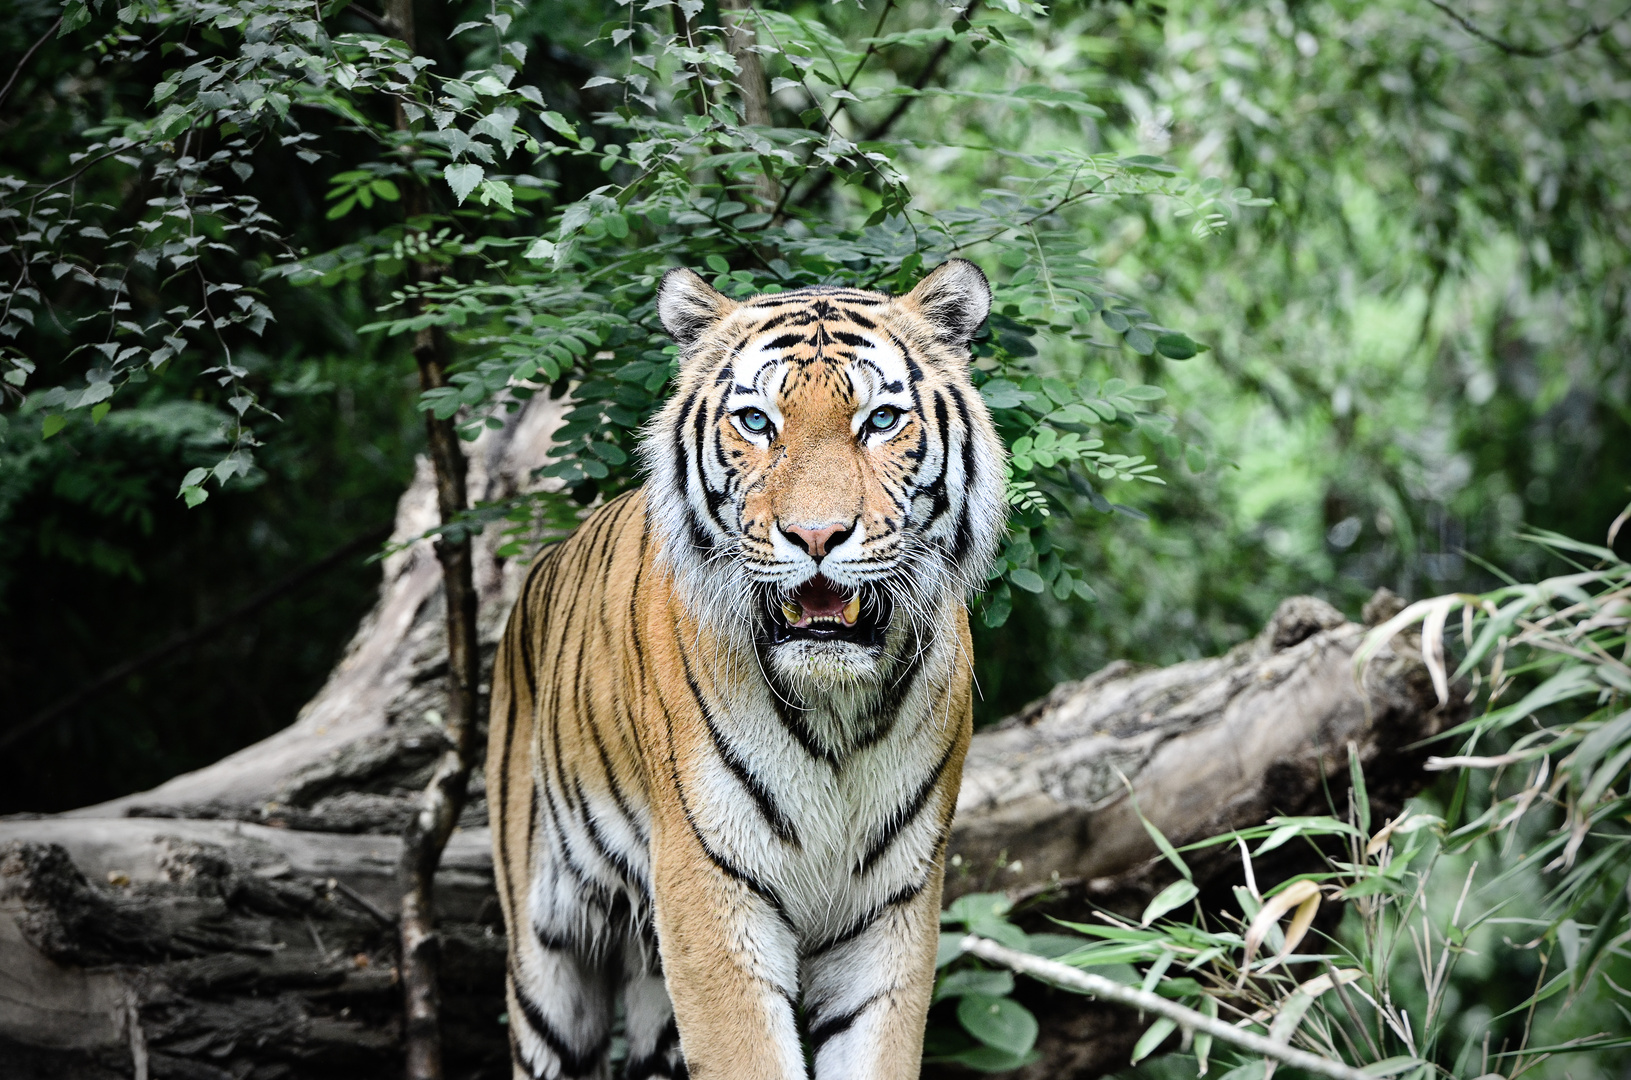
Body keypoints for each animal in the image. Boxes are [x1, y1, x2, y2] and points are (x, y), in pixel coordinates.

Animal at [486, 262, 1004, 1080]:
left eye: (882, 419)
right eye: (758, 423)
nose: (817, 535)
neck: (836, 712)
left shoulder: (891, 910)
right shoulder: (708, 892)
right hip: (548, 959)